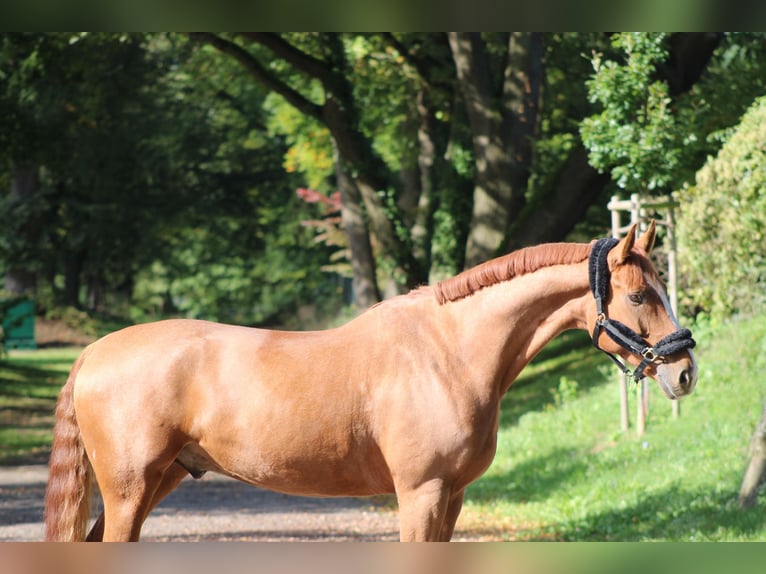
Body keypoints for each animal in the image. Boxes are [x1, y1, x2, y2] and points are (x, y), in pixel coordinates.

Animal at [45, 223, 700, 544]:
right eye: (639, 295)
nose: (684, 370)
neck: (449, 353)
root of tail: (94, 352)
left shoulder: (452, 497)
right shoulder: (421, 493)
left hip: (160, 481)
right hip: (131, 488)